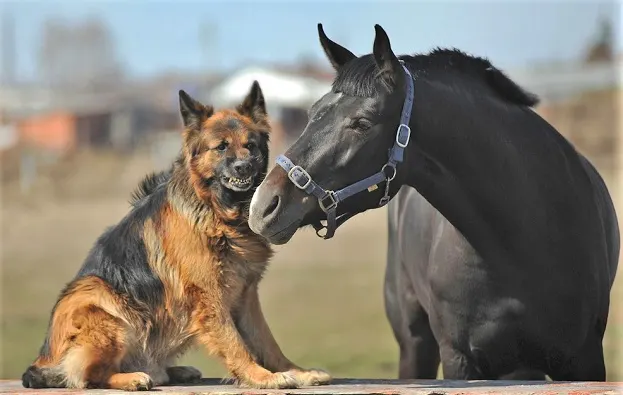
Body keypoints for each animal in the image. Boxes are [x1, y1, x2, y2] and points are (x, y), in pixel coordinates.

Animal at [20, 82, 332, 392]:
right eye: (221, 147)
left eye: (250, 146)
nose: (243, 167)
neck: (215, 211)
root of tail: (43, 361)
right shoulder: (210, 298)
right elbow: (236, 344)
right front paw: (261, 377)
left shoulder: (245, 295)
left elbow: (266, 341)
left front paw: (296, 371)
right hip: (98, 300)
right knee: (90, 375)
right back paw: (131, 377)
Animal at [247, 23, 620, 382]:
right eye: (312, 112)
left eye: (362, 123)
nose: (263, 206)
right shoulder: (459, 358)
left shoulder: (584, 359)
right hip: (415, 343)